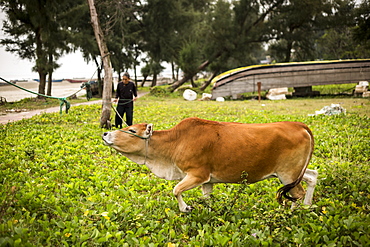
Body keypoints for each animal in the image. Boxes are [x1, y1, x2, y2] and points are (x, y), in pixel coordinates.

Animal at [103, 116, 318, 211]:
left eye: (132, 130)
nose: (105, 133)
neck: (176, 142)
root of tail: (299, 125)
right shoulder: (207, 182)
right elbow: (206, 199)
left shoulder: (197, 175)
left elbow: (175, 190)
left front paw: (185, 208)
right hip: (295, 173)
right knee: (312, 177)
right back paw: (308, 206)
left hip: (287, 174)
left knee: (296, 194)